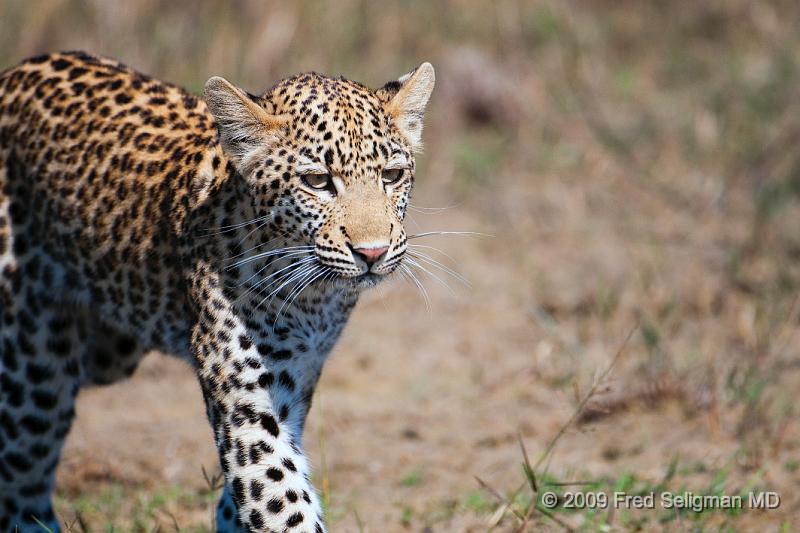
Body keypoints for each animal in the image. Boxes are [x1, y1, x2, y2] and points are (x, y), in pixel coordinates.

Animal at [1, 51, 438, 532]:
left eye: (392, 176)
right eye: (318, 182)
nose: (373, 252)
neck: (314, 297)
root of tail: (18, 70)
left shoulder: (295, 380)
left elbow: (245, 496)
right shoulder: (247, 396)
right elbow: (283, 501)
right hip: (33, 365)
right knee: (23, 483)